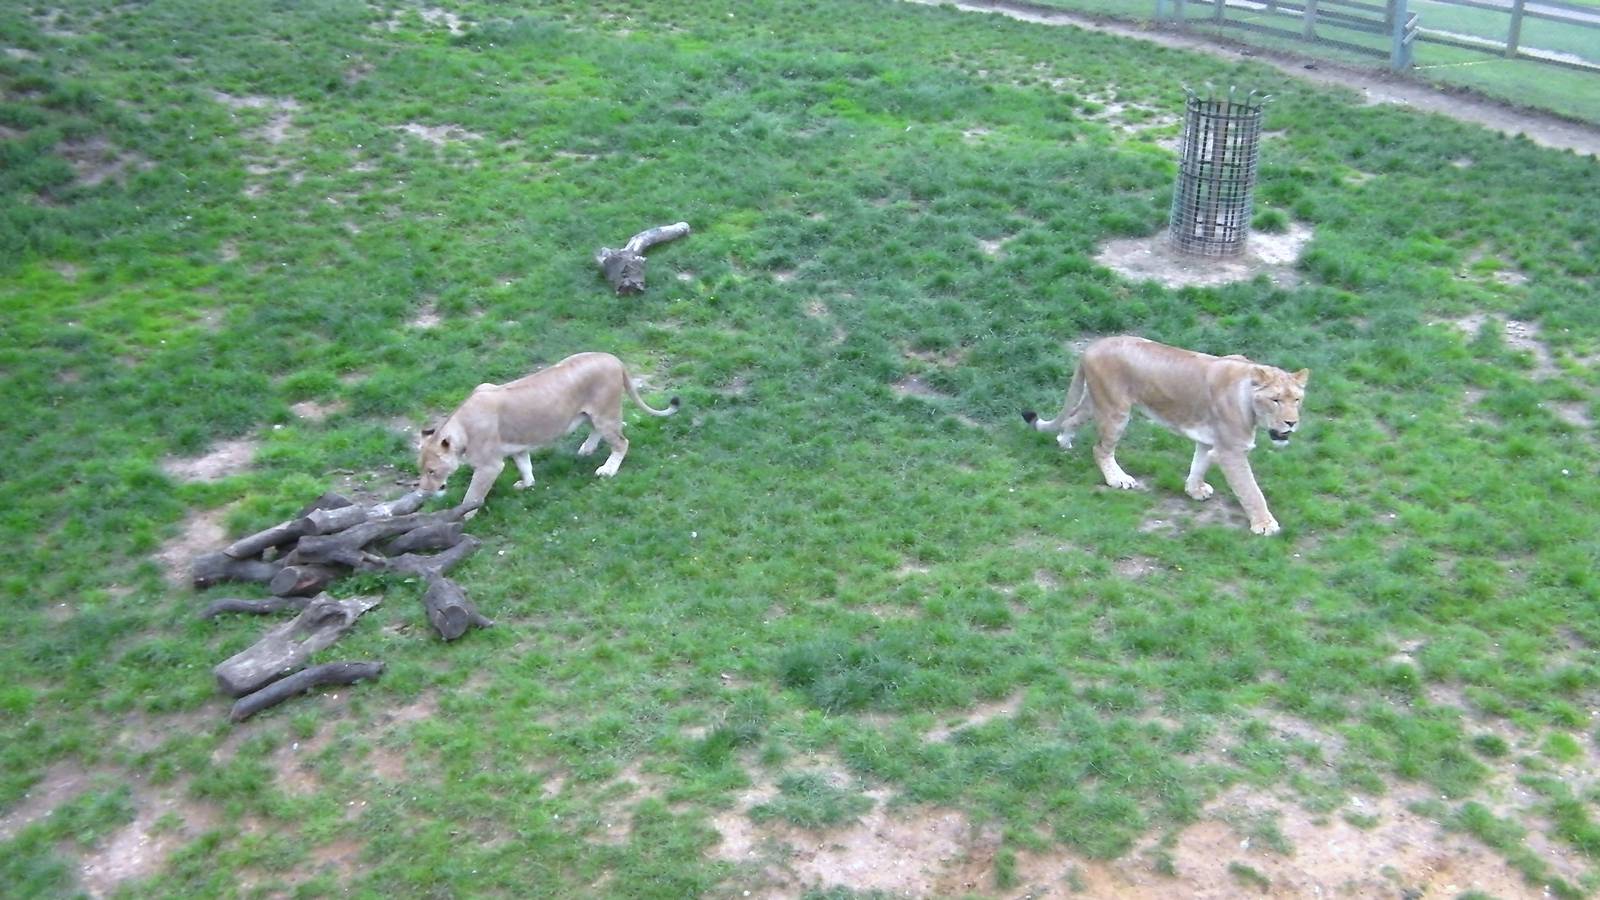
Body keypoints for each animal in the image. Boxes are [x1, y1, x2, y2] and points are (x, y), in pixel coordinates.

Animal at [418, 352, 679, 508]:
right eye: (422, 470)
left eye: (431, 471)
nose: (424, 491)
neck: (461, 428)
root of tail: (613, 358)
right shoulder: (517, 447)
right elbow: (525, 466)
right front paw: (527, 485)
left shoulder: (489, 466)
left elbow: (472, 496)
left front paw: (461, 518)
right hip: (592, 414)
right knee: (599, 431)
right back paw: (586, 449)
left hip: (606, 413)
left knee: (622, 442)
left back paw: (607, 470)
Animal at [1021, 336, 1308, 536]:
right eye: (1275, 400)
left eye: (1297, 399)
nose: (1292, 423)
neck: (1247, 397)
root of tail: (1091, 347)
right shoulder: (1231, 451)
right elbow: (1251, 490)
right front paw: (1265, 524)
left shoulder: (1208, 440)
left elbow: (1199, 464)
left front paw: (1195, 490)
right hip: (1116, 410)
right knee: (1100, 448)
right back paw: (1118, 479)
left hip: (1096, 402)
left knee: (1072, 417)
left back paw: (1064, 442)